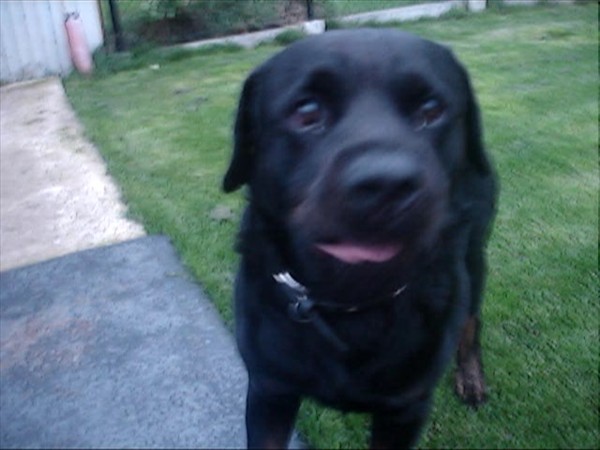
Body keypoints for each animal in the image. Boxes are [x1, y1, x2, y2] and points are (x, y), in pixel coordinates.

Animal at [223, 29, 498, 449]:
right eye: (307, 112)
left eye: (431, 109)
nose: (387, 184)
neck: (351, 304)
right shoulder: (270, 388)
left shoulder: (405, 408)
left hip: (474, 254)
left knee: (471, 319)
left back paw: (471, 378)